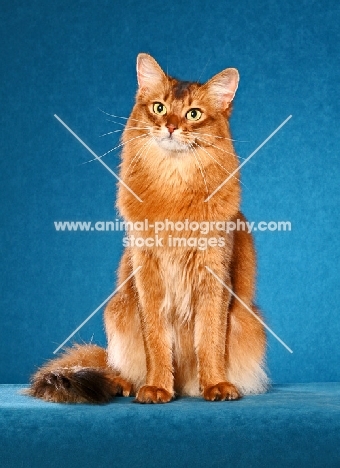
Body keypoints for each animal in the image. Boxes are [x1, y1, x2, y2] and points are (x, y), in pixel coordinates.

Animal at [27, 52, 268, 402]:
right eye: (159, 108)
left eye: (193, 113)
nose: (170, 127)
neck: (174, 186)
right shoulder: (146, 273)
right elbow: (155, 340)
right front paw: (156, 387)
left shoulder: (214, 274)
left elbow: (209, 338)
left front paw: (215, 384)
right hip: (117, 313)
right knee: (113, 364)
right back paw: (124, 383)